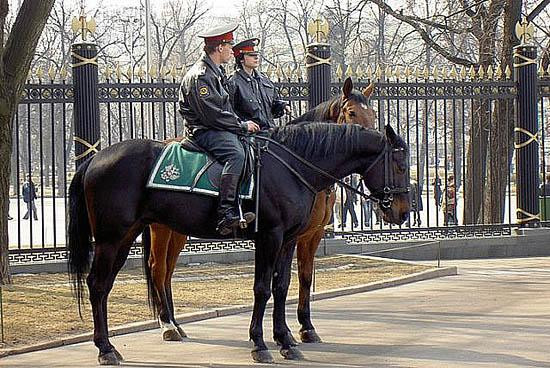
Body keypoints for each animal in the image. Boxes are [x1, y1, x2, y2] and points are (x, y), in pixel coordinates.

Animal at [144, 76, 378, 344]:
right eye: (351, 112)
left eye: (373, 114)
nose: (376, 140)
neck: (300, 164)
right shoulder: (283, 235)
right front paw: (287, 332)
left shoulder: (310, 235)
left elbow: (303, 277)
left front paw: (303, 328)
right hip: (160, 228)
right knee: (158, 268)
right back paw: (167, 325)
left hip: (177, 229)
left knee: (168, 270)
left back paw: (175, 323)